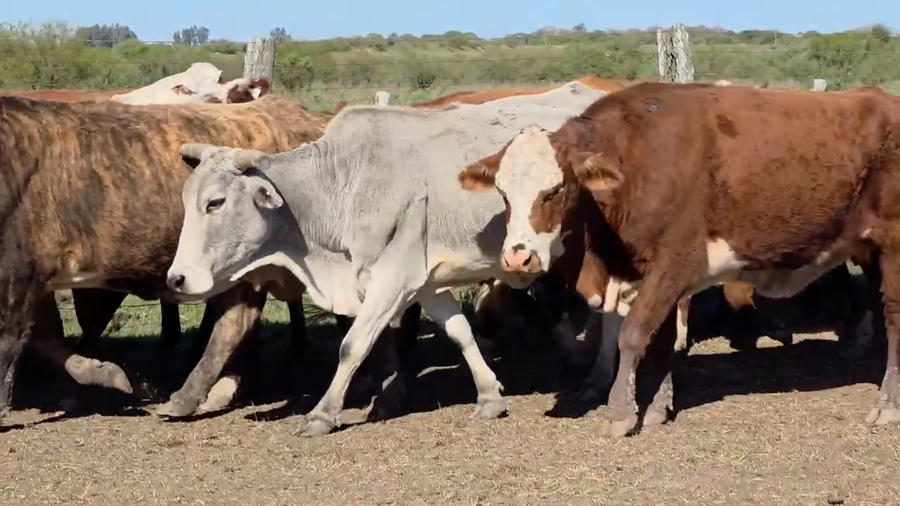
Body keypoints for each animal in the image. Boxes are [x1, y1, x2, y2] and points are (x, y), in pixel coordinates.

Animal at [0, 95, 330, 423]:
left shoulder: (19, 274)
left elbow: (10, 342)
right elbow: (44, 336)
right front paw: (105, 374)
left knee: (232, 325)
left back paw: (189, 397)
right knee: (237, 321)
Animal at [164, 81, 613, 437]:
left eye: (215, 203)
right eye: (185, 200)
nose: (176, 279)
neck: (346, 184)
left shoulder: (391, 280)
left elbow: (353, 345)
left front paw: (322, 414)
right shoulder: (426, 280)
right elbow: (459, 332)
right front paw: (489, 396)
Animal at [456, 81, 900, 437]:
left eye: (557, 188)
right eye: (502, 192)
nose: (518, 259)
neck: (638, 161)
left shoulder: (675, 263)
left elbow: (633, 334)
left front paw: (621, 413)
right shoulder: (657, 273)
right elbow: (662, 339)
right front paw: (656, 407)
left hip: (893, 249)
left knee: (894, 320)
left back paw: (886, 404)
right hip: (867, 249)